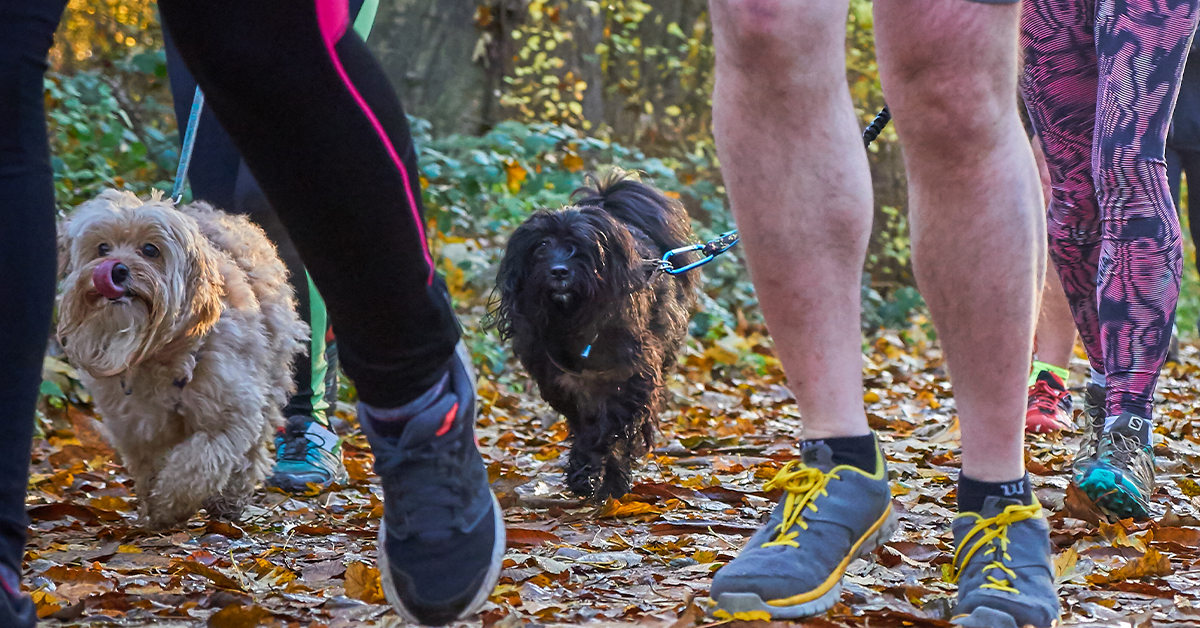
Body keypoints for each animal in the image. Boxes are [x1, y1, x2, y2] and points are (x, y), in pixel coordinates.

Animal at [487, 171, 700, 501]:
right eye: (542, 246)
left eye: (579, 245)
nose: (559, 271)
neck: (573, 319)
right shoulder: (563, 386)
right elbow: (587, 426)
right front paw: (584, 473)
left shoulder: (634, 378)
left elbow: (610, 429)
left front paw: (596, 472)